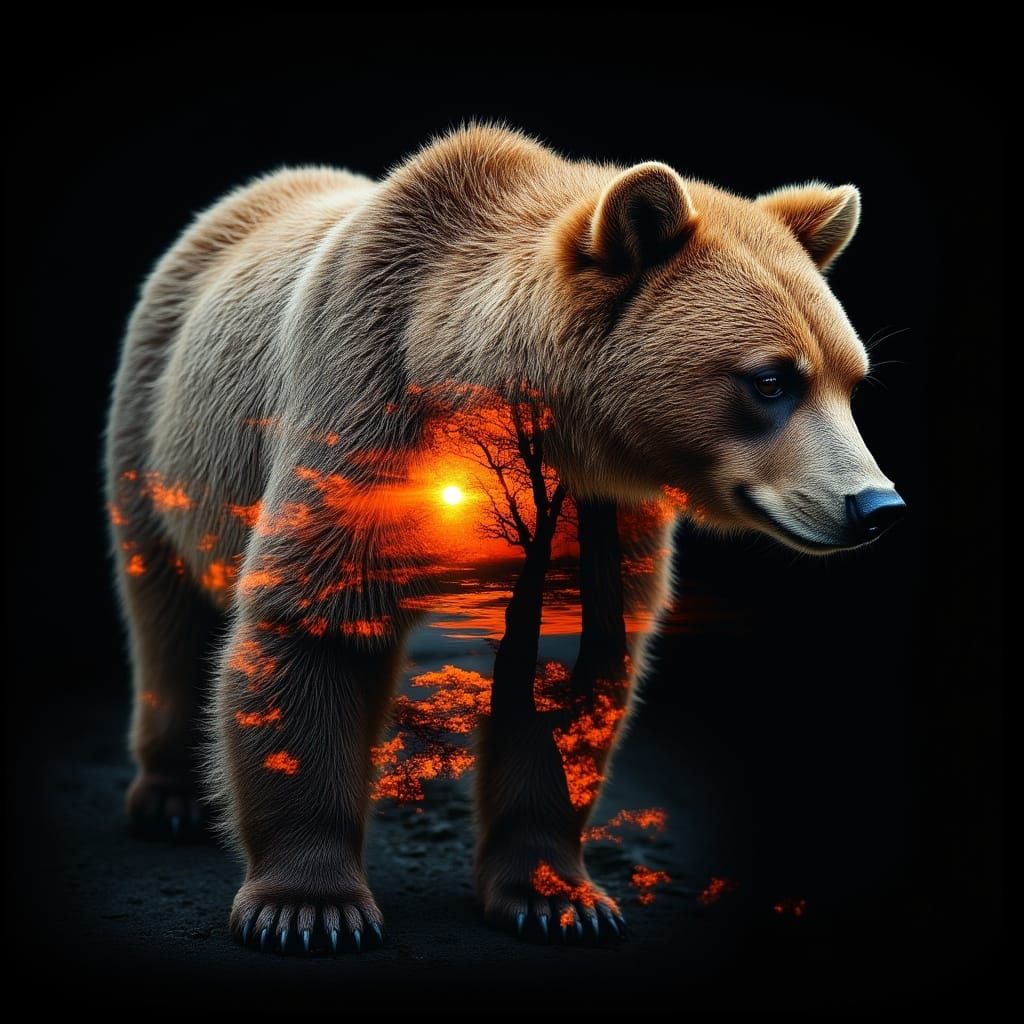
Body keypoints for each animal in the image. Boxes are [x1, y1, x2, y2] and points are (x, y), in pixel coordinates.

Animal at [105, 125, 904, 953]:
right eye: (771, 380)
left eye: (852, 379)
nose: (875, 503)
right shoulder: (363, 412)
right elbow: (315, 625)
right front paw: (310, 908)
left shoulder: (593, 513)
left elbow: (566, 673)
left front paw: (558, 899)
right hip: (162, 430)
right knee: (164, 606)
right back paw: (170, 798)